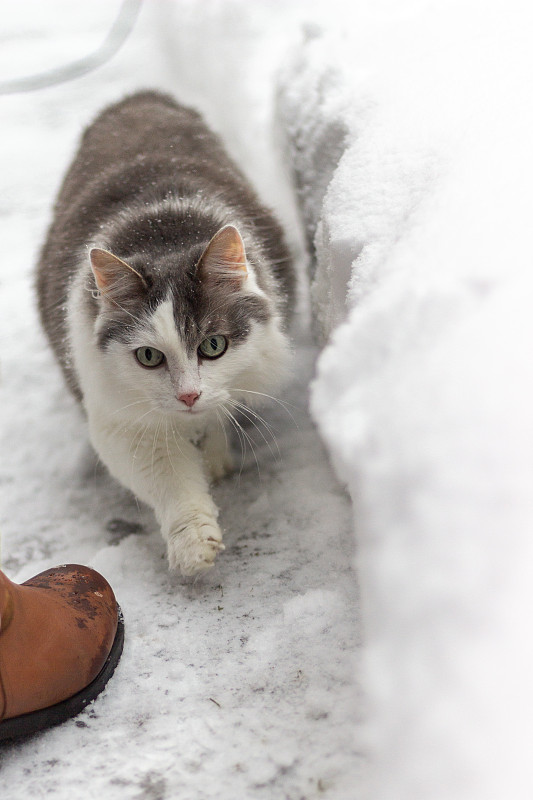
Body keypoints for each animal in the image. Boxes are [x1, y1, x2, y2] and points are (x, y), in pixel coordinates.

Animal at [36, 89, 296, 576]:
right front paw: (194, 545)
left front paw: (213, 456)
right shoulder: (122, 417)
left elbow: (217, 416)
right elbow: (172, 482)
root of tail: (138, 96)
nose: (188, 396)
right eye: (149, 357)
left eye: (213, 345)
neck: (161, 233)